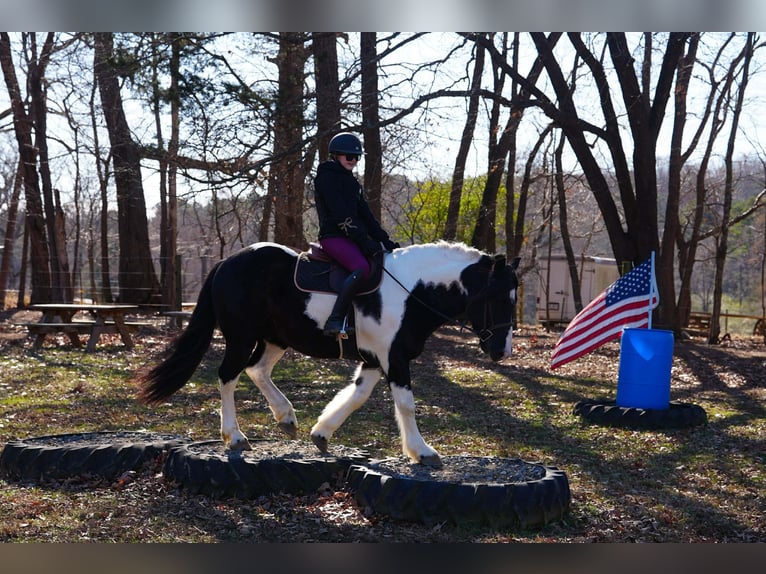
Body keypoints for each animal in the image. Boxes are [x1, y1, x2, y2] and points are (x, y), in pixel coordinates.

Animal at [136, 240, 520, 467]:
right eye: (499, 297)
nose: (502, 351)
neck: (412, 291)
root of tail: (227, 262)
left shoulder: (375, 359)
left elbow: (357, 396)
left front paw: (321, 432)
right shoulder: (394, 358)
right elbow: (406, 405)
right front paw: (422, 451)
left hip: (275, 339)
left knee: (257, 370)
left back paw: (286, 417)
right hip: (242, 337)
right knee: (228, 376)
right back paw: (235, 436)